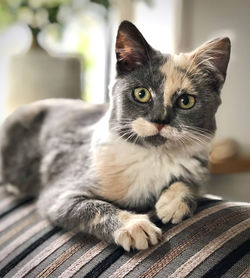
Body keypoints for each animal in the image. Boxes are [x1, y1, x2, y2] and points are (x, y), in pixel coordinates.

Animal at [0, 21, 230, 252]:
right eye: (141, 94)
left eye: (186, 101)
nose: (160, 120)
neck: (153, 156)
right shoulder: (59, 192)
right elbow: (92, 207)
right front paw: (133, 226)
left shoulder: (199, 167)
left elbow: (192, 182)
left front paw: (174, 202)